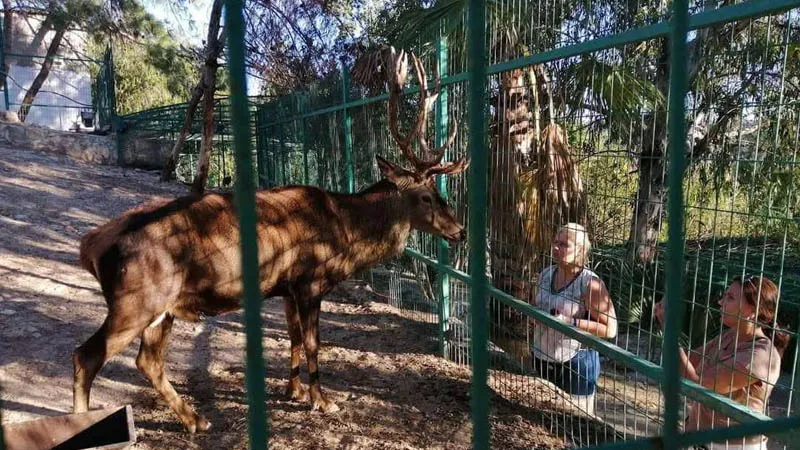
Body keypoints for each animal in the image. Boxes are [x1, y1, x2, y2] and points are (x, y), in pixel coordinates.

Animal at [71, 48, 468, 433]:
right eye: (428, 196)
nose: (460, 230)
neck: (344, 234)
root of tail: (90, 246)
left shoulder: (287, 288)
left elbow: (293, 337)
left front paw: (293, 391)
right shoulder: (310, 281)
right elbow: (313, 342)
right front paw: (322, 399)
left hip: (161, 308)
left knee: (147, 361)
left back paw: (197, 419)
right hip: (136, 301)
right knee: (86, 356)